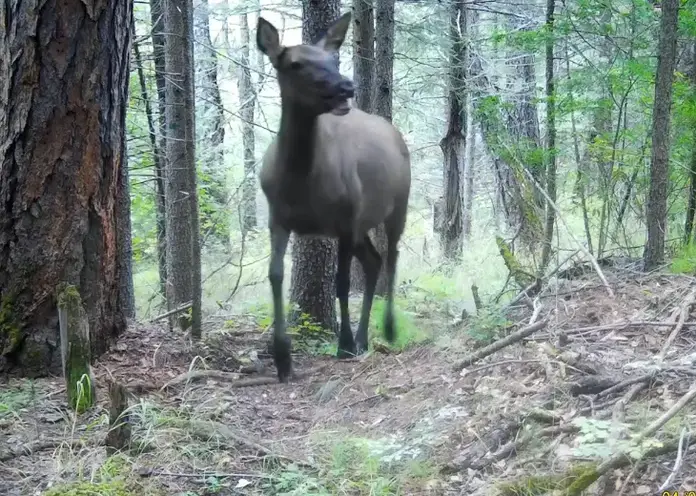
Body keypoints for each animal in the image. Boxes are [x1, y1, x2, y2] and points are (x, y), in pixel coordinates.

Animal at [256, 11, 410, 384]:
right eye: (295, 63)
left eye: (333, 58)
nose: (346, 87)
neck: (300, 183)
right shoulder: (277, 218)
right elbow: (275, 276)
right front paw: (282, 358)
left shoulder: (344, 218)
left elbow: (340, 283)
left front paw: (343, 345)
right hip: (362, 223)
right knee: (373, 261)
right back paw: (365, 337)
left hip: (396, 206)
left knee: (391, 259)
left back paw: (386, 329)